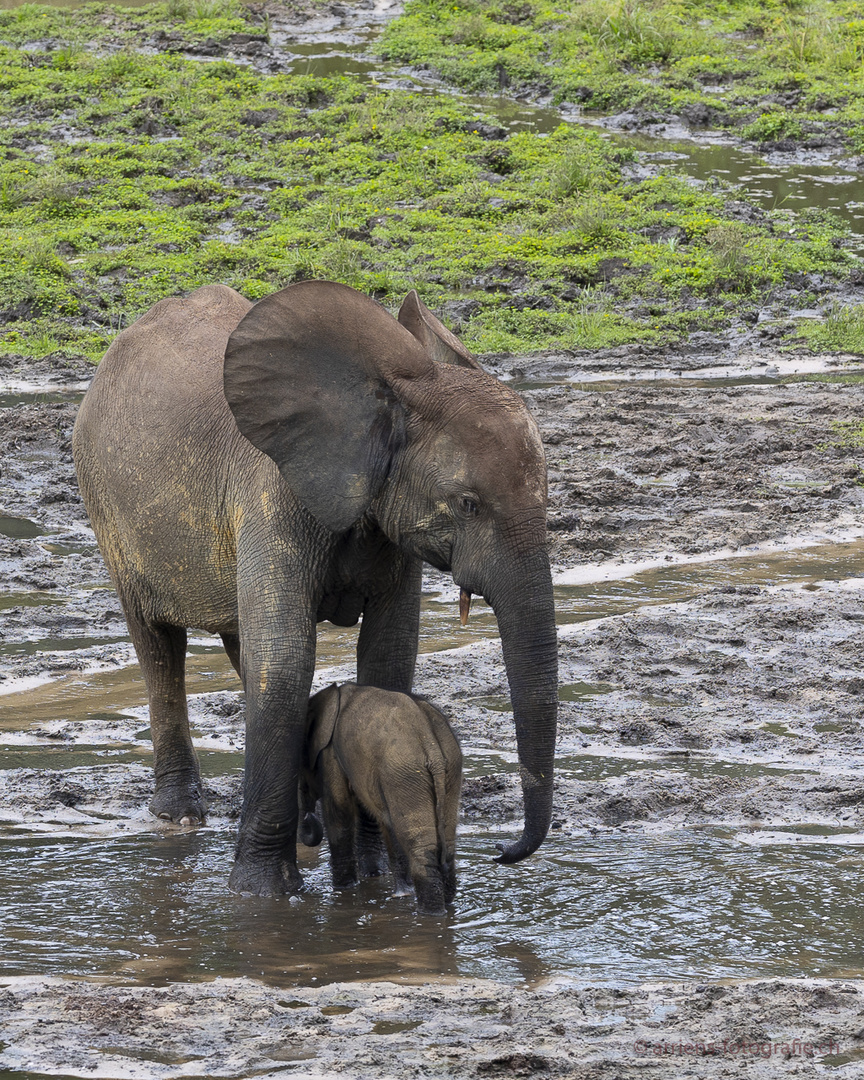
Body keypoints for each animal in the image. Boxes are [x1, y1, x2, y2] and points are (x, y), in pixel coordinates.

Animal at [304, 682, 466, 911]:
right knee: (446, 845)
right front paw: (402, 893)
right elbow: (386, 821)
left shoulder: (331, 755)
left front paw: (343, 890)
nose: (308, 816)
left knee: (420, 847)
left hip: (405, 772)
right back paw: (446, 905)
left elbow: (339, 814)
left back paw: (429, 913)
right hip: (448, 769)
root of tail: (432, 747)